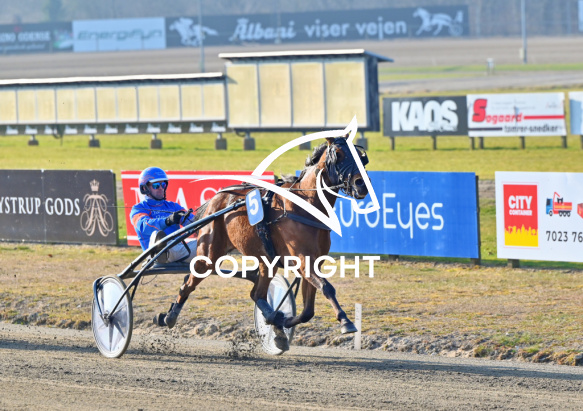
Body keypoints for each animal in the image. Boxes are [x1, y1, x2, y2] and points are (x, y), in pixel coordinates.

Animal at [155, 135, 370, 351]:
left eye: (360, 155)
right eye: (339, 154)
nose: (361, 184)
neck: (305, 206)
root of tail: (217, 198)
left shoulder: (313, 262)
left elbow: (308, 310)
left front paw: (282, 320)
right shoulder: (303, 260)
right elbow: (326, 288)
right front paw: (346, 322)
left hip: (267, 261)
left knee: (256, 293)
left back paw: (275, 324)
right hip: (209, 255)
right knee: (189, 282)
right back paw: (169, 316)